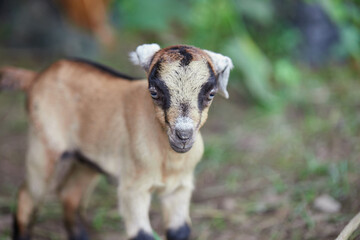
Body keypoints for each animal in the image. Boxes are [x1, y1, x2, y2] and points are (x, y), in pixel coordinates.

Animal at [1, 44, 233, 239]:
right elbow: (142, 235)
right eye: (154, 92)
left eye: (211, 94)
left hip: (87, 160)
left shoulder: (180, 188)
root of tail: (36, 77)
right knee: (27, 196)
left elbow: (180, 231)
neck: (168, 160)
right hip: (44, 146)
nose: (183, 135)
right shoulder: (133, 189)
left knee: (69, 193)